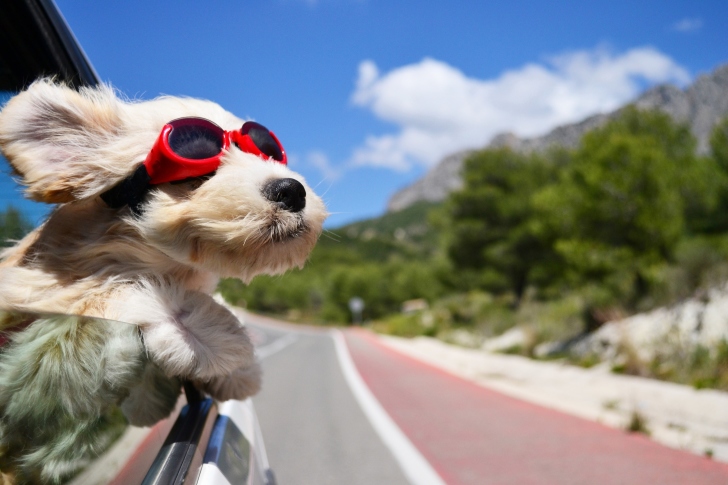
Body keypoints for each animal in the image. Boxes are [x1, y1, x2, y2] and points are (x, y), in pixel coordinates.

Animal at [0, 79, 328, 480]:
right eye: (195, 173)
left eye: (268, 153)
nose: (292, 190)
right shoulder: (32, 295)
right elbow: (101, 294)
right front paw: (210, 335)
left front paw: (236, 368)